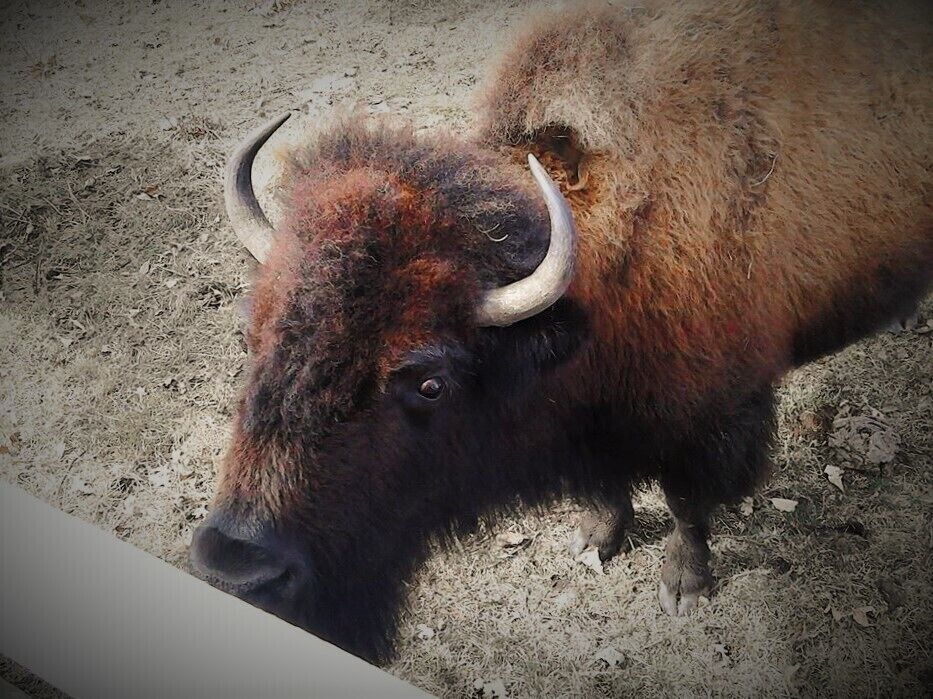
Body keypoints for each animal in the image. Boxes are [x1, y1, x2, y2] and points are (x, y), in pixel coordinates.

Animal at [190, 1, 932, 661]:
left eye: (429, 382)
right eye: (250, 336)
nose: (237, 567)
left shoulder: (704, 417)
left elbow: (686, 503)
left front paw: (684, 587)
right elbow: (605, 485)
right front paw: (595, 539)